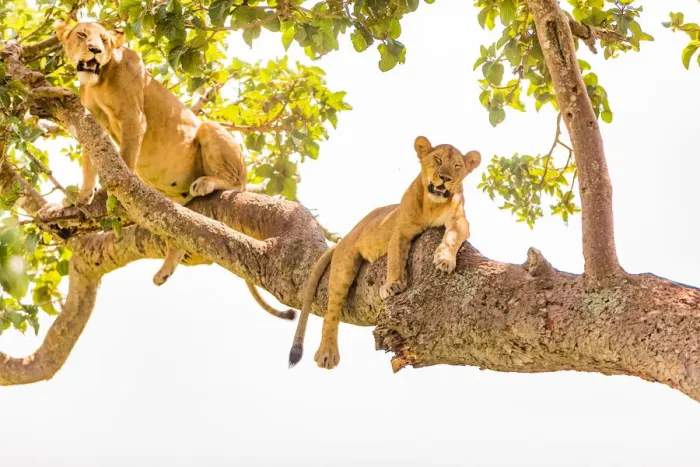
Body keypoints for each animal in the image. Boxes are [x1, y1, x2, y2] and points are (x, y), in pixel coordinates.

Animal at [54, 21, 294, 320]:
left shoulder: (134, 118)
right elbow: (90, 160)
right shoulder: (89, 119)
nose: (96, 50)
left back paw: (205, 184)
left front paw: (112, 193)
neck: (97, 81)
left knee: (234, 182)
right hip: (167, 208)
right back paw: (165, 270)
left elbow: (125, 158)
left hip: (209, 130)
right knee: (177, 232)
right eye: (82, 34)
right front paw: (83, 196)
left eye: (105, 40)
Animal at [288, 136, 481, 369]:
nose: (445, 178)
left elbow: (452, 238)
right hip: (344, 264)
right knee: (332, 311)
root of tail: (349, 234)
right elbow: (395, 259)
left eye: (457, 166)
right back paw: (327, 352)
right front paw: (393, 285)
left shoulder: (460, 221)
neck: (433, 204)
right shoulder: (400, 230)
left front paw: (445, 259)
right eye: (437, 159)